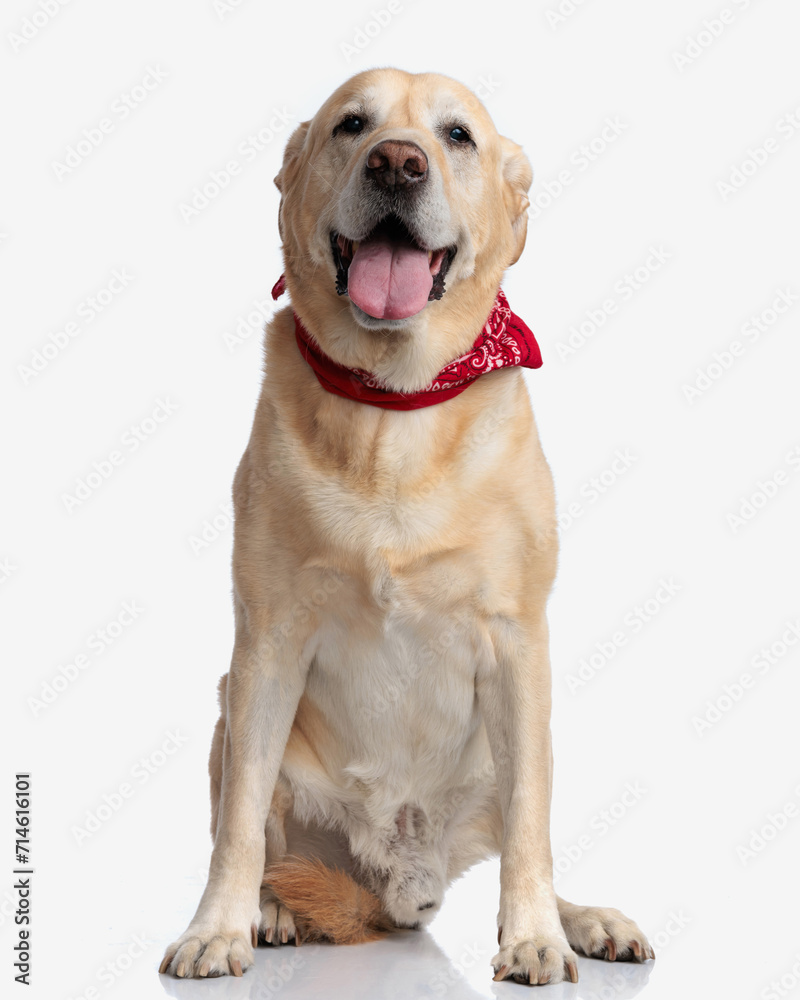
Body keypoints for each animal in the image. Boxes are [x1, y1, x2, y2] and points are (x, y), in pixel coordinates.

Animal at [159, 68, 652, 984]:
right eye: (352, 125)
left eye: (457, 136)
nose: (397, 162)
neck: (394, 404)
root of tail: (397, 879)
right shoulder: (267, 642)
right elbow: (238, 822)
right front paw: (219, 927)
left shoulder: (517, 641)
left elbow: (532, 828)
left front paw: (536, 935)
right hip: (229, 713)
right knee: (270, 838)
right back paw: (273, 910)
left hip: (514, 740)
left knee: (529, 822)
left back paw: (583, 920)